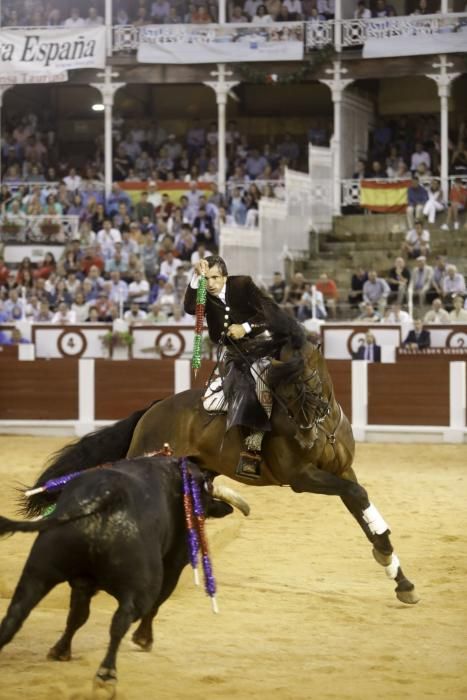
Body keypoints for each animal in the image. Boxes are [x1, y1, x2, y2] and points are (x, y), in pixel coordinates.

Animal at [0, 454, 250, 696]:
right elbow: (156, 604)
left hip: (39, 570)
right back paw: (106, 676)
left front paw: (60, 651)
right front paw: (143, 639)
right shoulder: (174, 563)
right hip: (141, 587)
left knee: (16, 613)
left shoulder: (82, 583)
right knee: (122, 619)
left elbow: (78, 616)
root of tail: (108, 496)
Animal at [22, 312, 420, 652]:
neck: (322, 425)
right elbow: (357, 495)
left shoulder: (342, 470)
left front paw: (398, 575)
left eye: (307, 382)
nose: (306, 437)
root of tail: (154, 409)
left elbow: (360, 505)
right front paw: (388, 559)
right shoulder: (303, 477)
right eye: (280, 389)